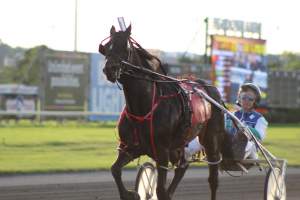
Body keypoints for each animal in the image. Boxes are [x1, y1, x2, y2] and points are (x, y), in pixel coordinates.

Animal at [98, 25, 225, 200]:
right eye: (107, 46)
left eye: (126, 47)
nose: (110, 69)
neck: (143, 108)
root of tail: (211, 88)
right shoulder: (131, 148)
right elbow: (115, 169)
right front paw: (132, 194)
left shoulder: (162, 151)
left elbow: (159, 190)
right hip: (178, 145)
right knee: (182, 166)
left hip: (210, 139)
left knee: (213, 178)